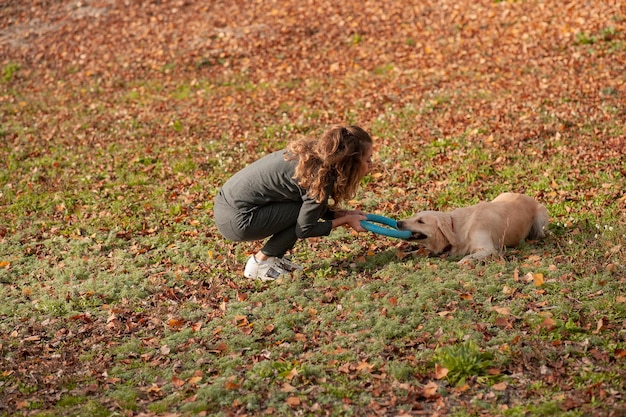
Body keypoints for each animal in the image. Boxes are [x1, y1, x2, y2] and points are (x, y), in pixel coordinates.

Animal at [398, 193, 548, 264]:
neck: (456, 227)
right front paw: (406, 253)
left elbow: (468, 257)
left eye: (420, 221)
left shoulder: (488, 249)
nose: (398, 223)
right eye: (414, 216)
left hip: (541, 216)